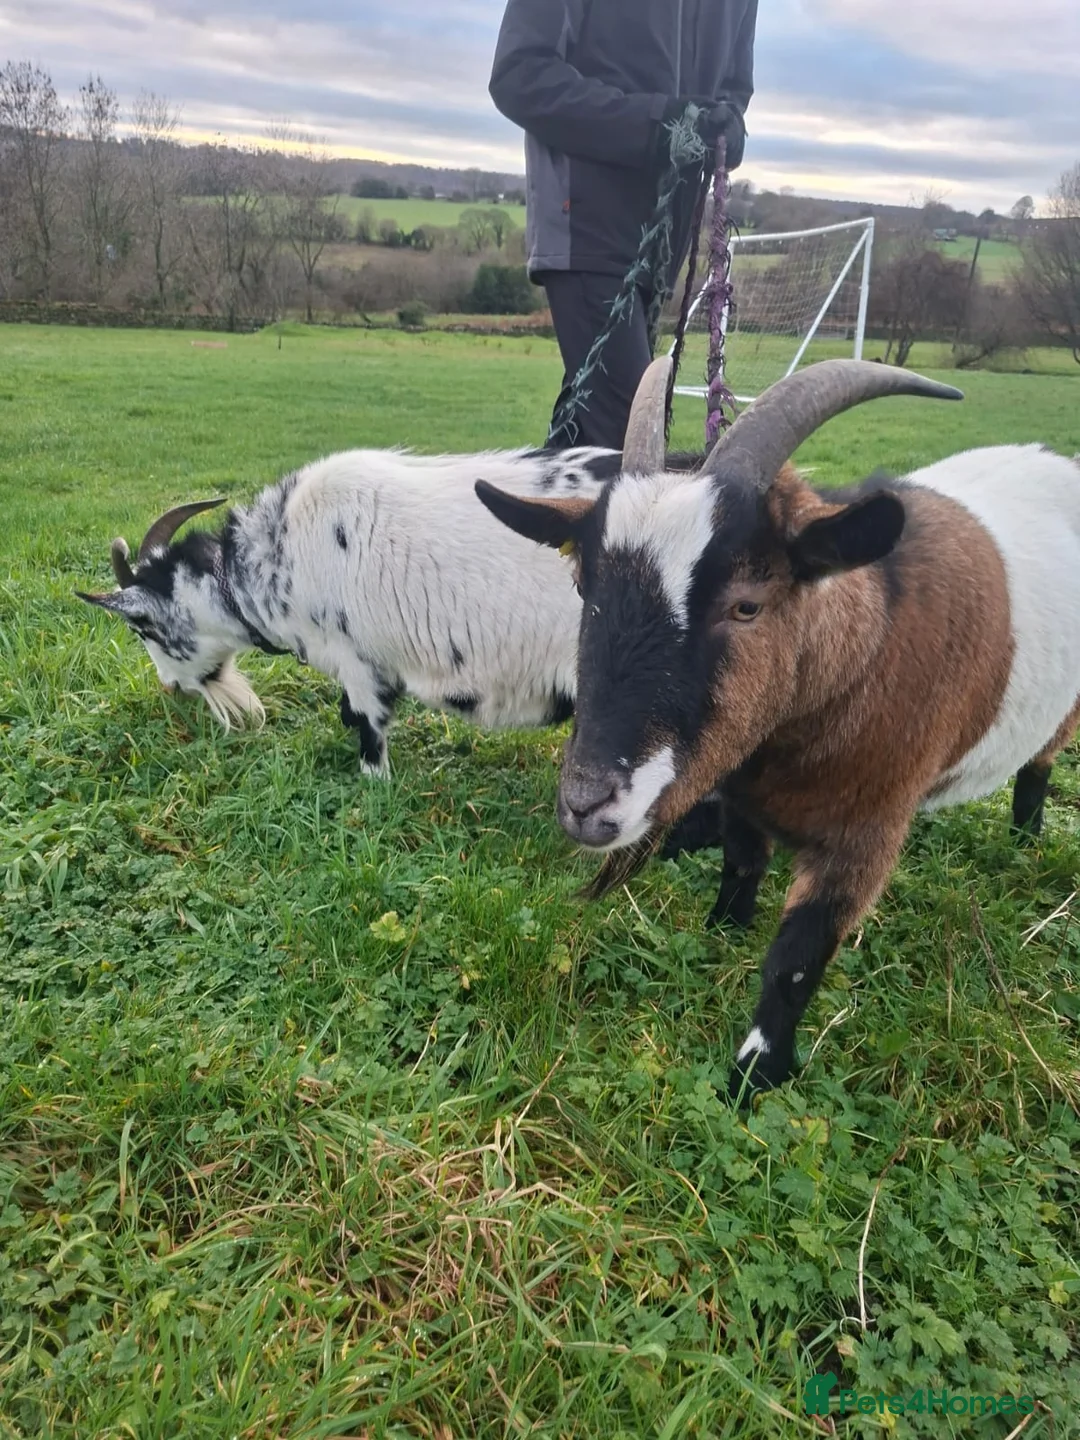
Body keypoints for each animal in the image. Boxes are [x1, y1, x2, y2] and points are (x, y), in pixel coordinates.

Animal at [475, 355, 1080, 1100]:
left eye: (746, 606)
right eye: (585, 586)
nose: (588, 805)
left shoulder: (866, 835)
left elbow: (795, 958)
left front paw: (754, 1075)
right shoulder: (743, 795)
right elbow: (742, 862)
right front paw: (722, 932)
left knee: (1038, 768)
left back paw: (1026, 839)